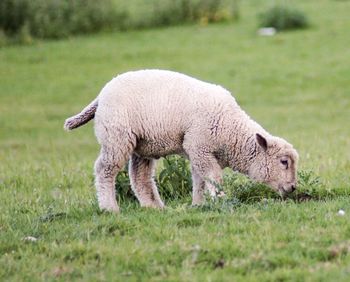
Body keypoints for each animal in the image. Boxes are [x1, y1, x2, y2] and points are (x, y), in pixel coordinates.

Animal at [63, 69, 298, 213]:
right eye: (284, 162)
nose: (294, 188)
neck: (231, 129)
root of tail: (101, 96)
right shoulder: (199, 146)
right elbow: (213, 177)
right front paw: (221, 200)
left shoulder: (198, 151)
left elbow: (200, 180)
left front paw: (199, 204)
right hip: (116, 136)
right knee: (105, 169)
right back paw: (109, 208)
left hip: (142, 144)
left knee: (139, 177)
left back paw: (154, 207)